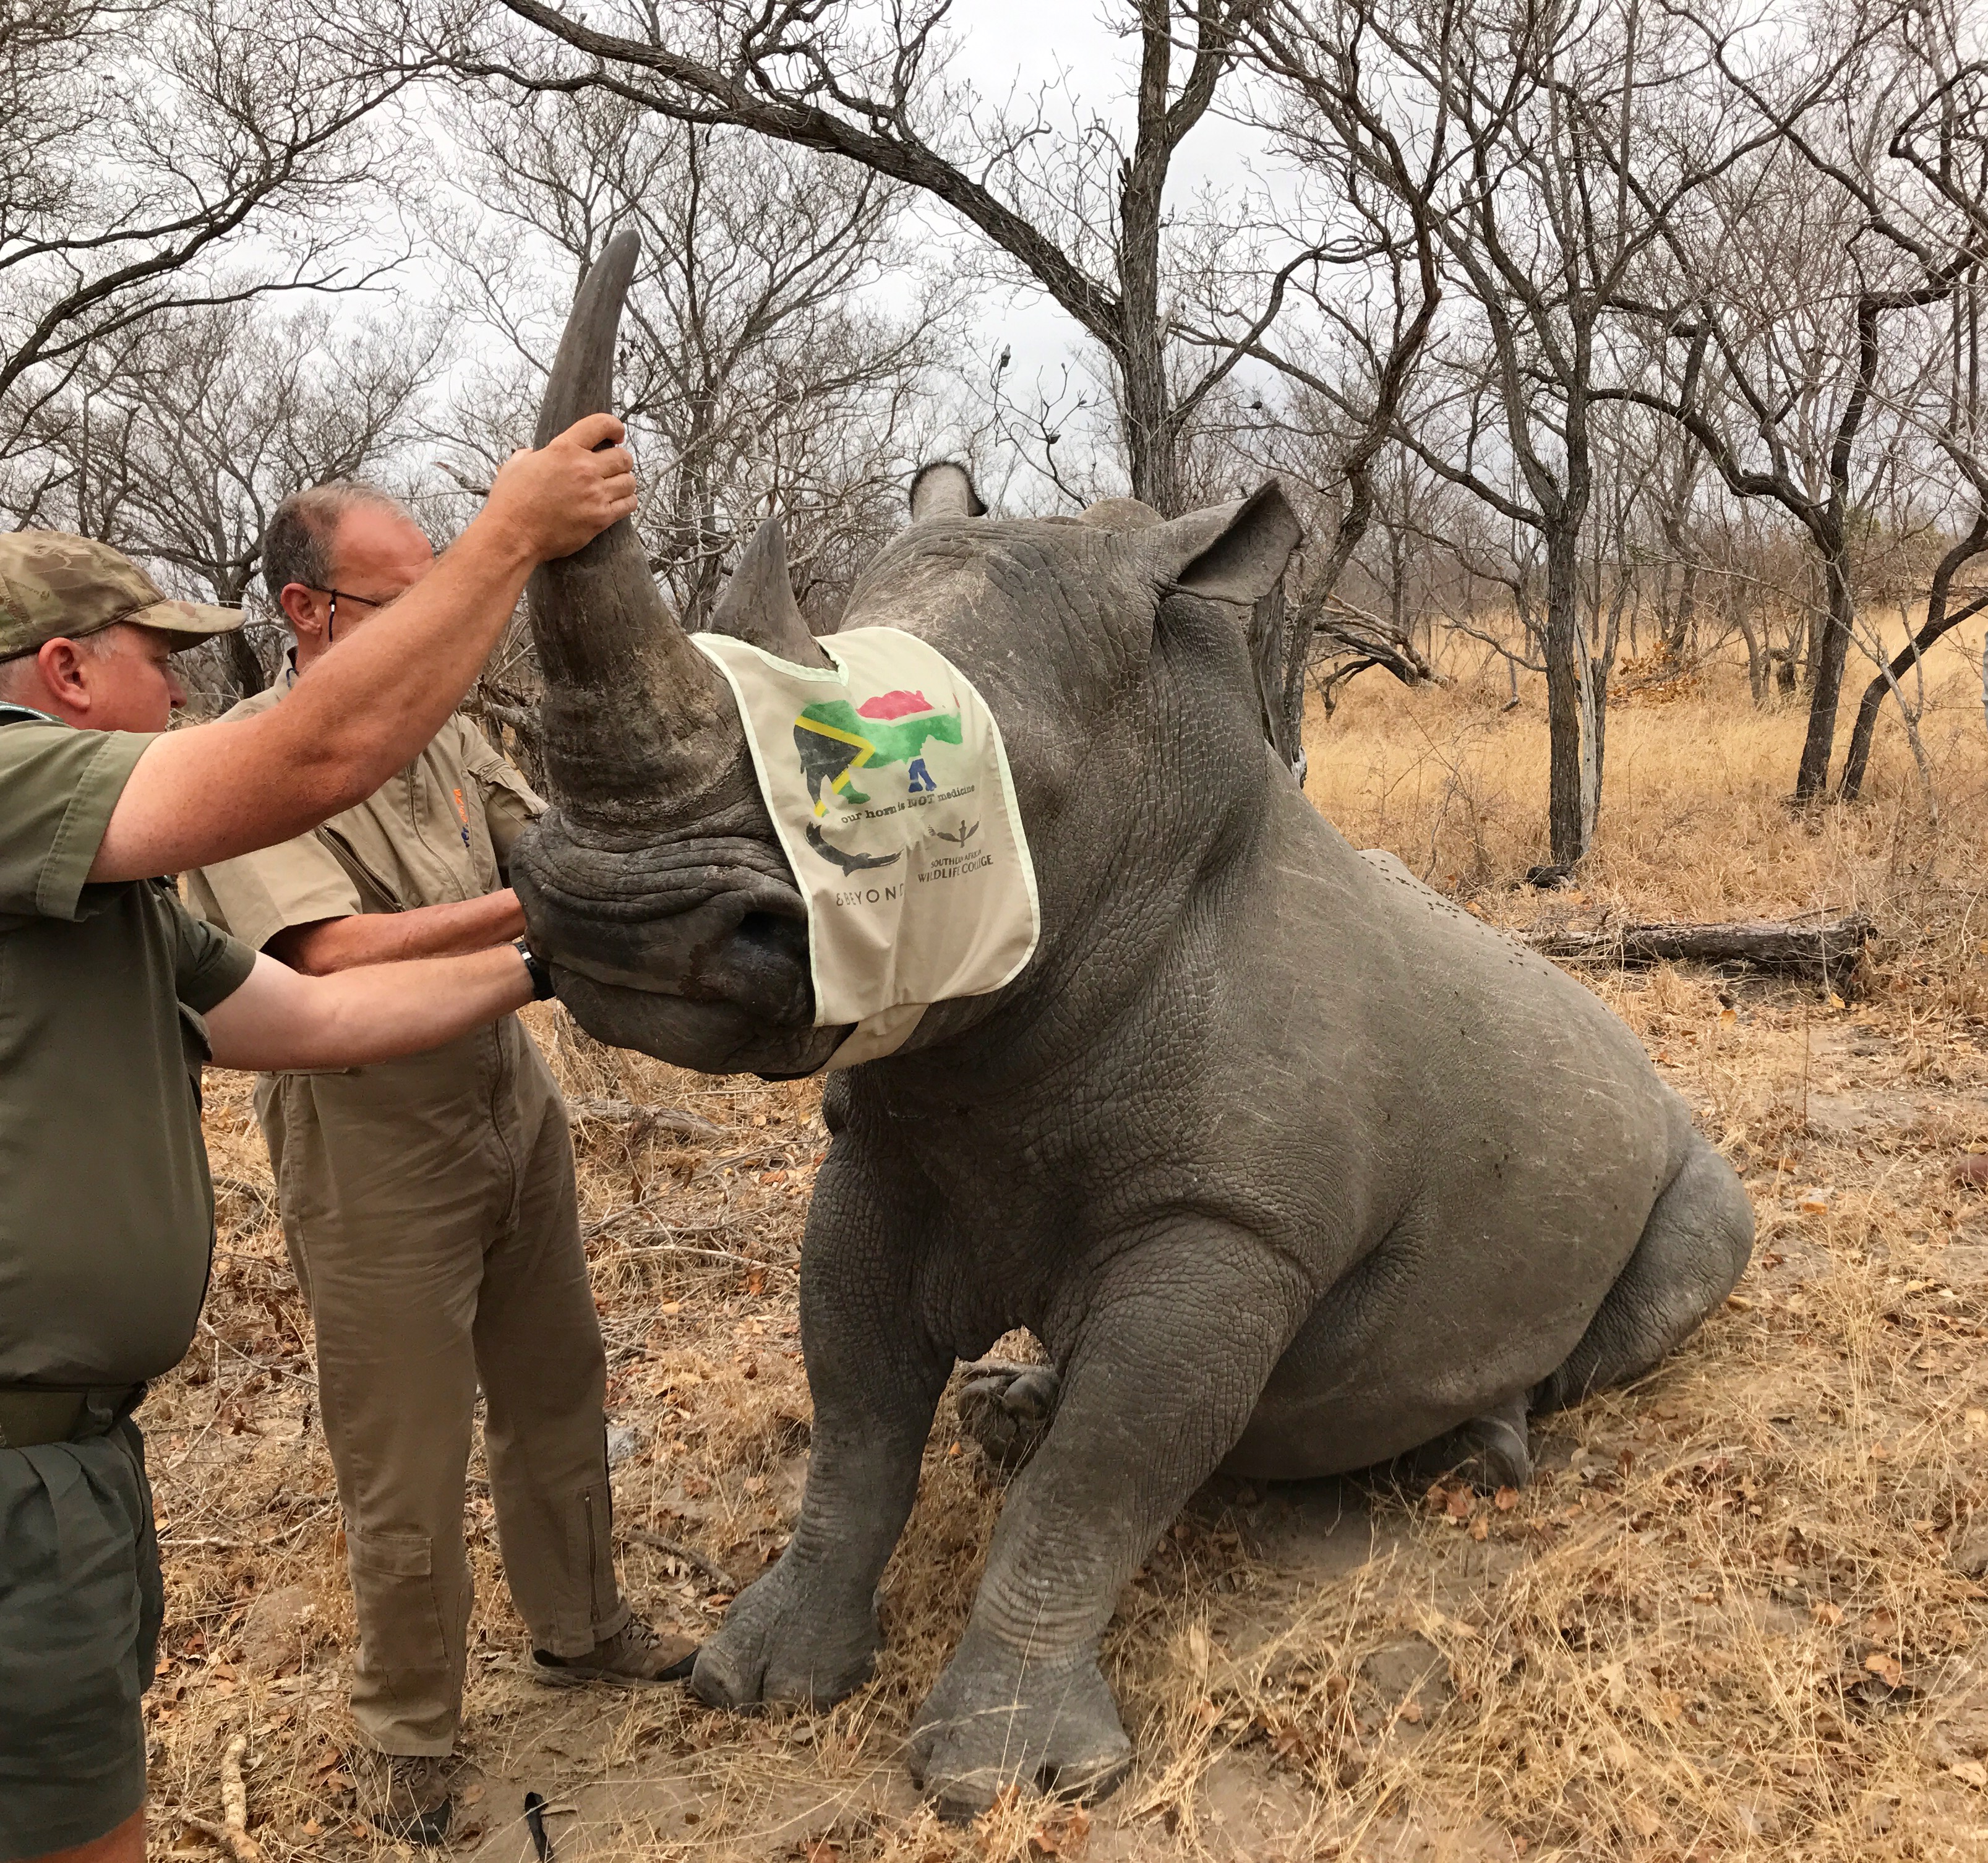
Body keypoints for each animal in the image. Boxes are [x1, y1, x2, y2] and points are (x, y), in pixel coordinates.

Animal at [514, 233, 1755, 1816]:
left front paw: (1003, 1778)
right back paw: (1010, 1404)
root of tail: (1640, 1050)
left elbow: (1100, 1478)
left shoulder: (1229, 1223)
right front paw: (756, 1681)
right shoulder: (890, 1138)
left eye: (968, 788)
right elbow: (855, 1410)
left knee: (1666, 1282)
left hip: (1684, 1157)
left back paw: (1484, 1448)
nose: (621, 919)